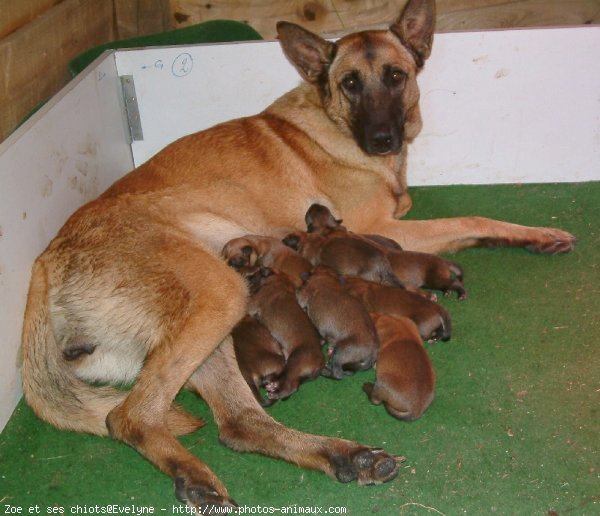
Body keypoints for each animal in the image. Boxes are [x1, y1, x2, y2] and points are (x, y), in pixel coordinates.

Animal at [246, 268, 326, 402]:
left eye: (256, 273)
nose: (247, 278)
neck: (280, 279)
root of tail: (321, 361)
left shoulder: (253, 304)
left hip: (294, 362)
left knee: (291, 386)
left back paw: (275, 394)